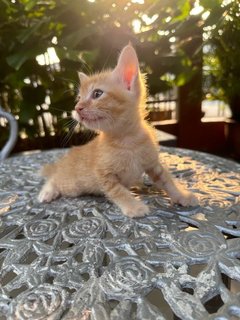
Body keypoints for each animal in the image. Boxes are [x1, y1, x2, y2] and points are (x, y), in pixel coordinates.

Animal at [38, 43, 199, 218]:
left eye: (97, 93)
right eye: (79, 98)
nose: (77, 108)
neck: (128, 141)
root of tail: (64, 161)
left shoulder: (153, 163)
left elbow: (166, 180)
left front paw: (181, 195)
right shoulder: (103, 174)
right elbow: (118, 191)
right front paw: (134, 206)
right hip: (72, 185)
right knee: (54, 178)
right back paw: (47, 192)